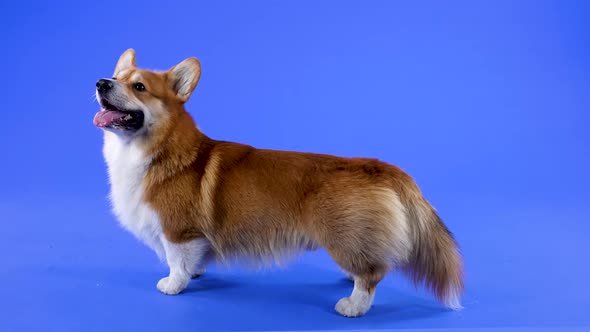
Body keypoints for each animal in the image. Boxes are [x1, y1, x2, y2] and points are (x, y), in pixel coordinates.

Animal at [93, 48, 468, 316]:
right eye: (116, 77)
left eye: (139, 86)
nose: (100, 83)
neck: (158, 148)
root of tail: (379, 167)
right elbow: (192, 261)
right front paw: (195, 274)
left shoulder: (178, 230)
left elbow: (176, 260)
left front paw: (173, 284)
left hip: (341, 235)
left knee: (371, 275)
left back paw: (352, 305)